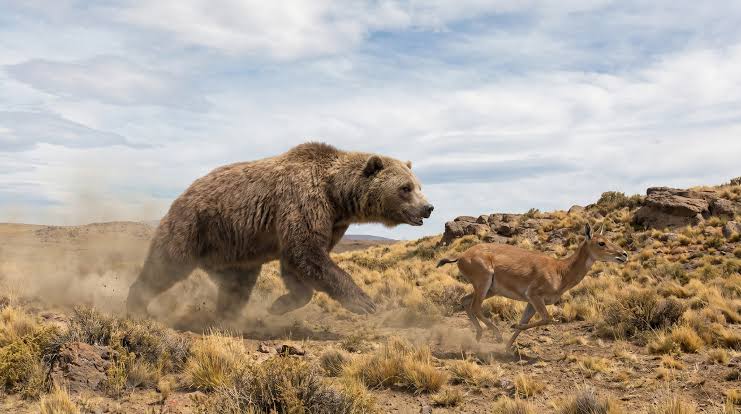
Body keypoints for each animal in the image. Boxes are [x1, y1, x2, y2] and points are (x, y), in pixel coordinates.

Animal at [126, 142, 434, 320]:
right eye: (405, 188)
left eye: (419, 185)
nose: (428, 207)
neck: (337, 195)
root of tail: (185, 192)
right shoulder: (303, 201)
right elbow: (306, 253)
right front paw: (364, 301)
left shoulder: (332, 222)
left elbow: (298, 263)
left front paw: (278, 305)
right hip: (195, 225)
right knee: (166, 263)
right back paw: (136, 305)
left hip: (234, 245)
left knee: (237, 283)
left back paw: (228, 315)